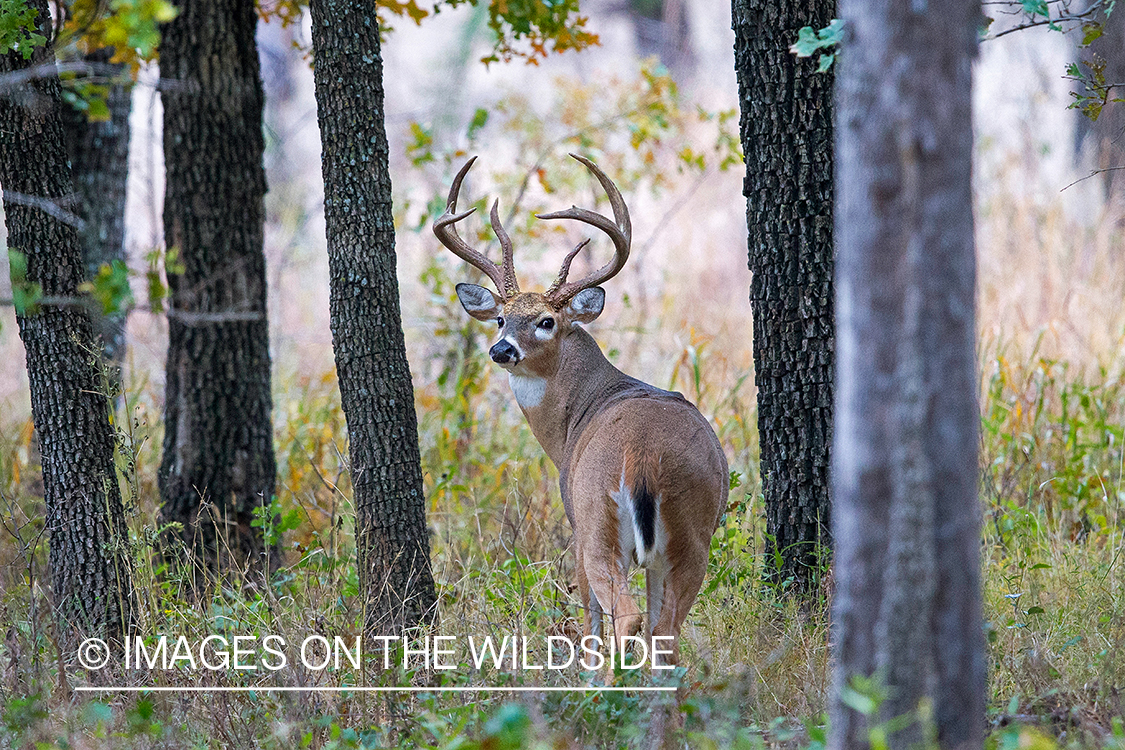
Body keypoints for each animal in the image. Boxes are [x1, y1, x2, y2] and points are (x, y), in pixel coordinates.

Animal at [429, 154, 729, 670]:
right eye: (501, 317)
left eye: (547, 321)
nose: (501, 349)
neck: (571, 423)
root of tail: (642, 457)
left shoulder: (573, 520)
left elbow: (589, 618)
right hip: (694, 529)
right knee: (665, 629)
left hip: (597, 524)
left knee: (624, 616)